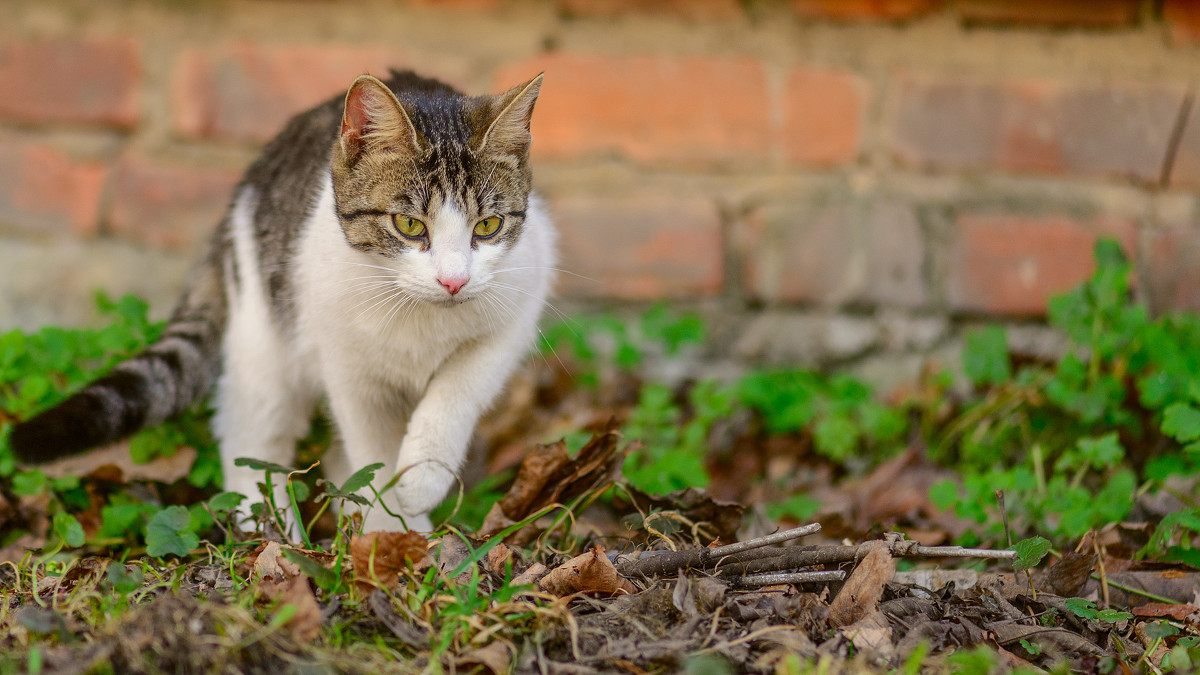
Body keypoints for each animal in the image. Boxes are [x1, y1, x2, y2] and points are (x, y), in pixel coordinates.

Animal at [9, 68, 554, 530]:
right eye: (409, 225)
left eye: (488, 226)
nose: (453, 282)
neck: (418, 314)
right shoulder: (346, 364)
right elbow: (371, 448)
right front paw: (396, 532)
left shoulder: (517, 309)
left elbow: (460, 387)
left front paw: (422, 477)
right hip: (265, 335)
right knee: (249, 437)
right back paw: (270, 530)